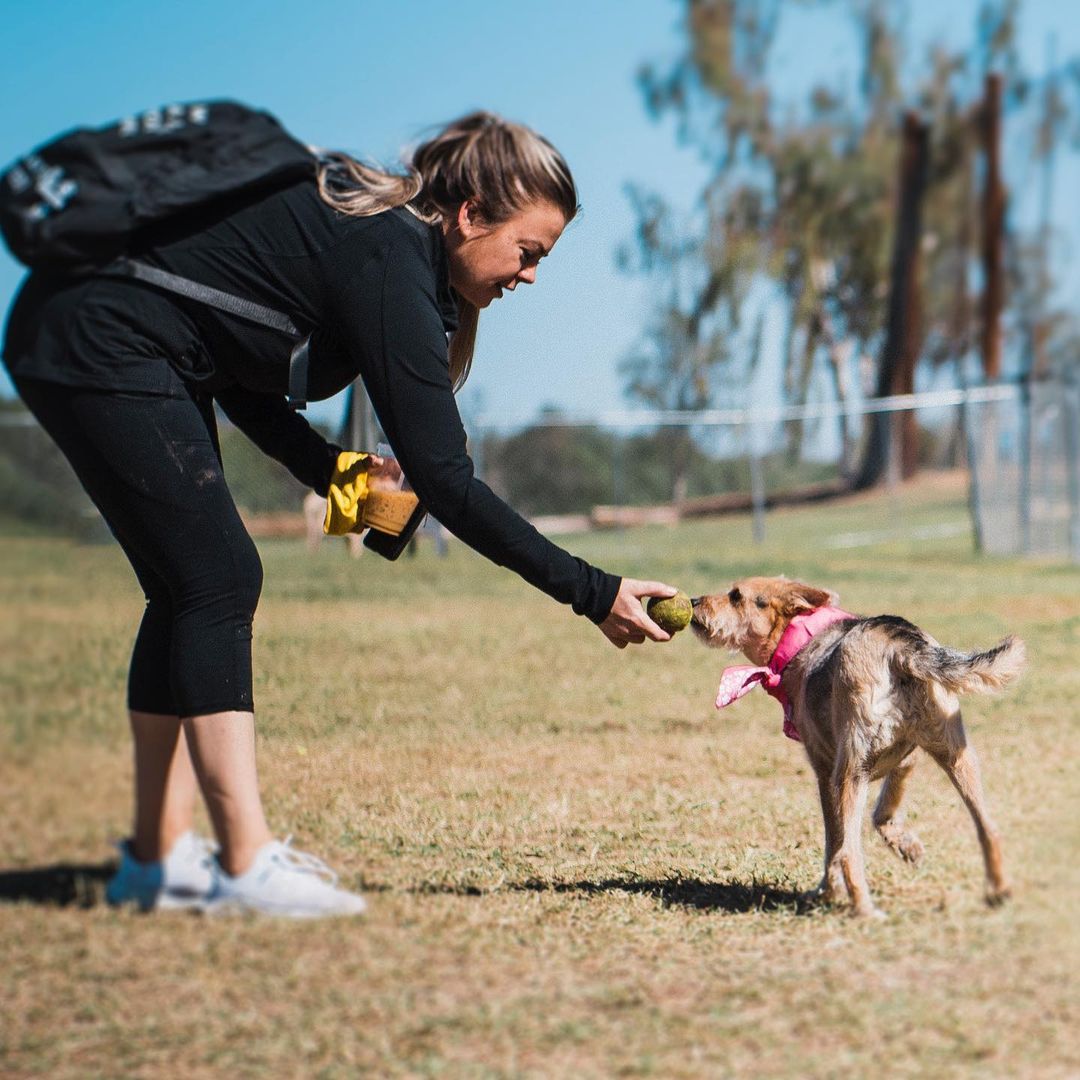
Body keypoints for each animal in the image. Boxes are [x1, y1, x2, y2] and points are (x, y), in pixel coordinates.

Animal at [686, 578, 1023, 915]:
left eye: (736, 596)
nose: (693, 601)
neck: (799, 640)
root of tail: (899, 645)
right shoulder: (907, 759)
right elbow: (883, 813)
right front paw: (908, 847)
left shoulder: (826, 773)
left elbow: (834, 843)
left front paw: (828, 889)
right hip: (957, 755)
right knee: (989, 829)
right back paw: (1000, 891)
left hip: (850, 773)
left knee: (850, 853)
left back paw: (865, 910)